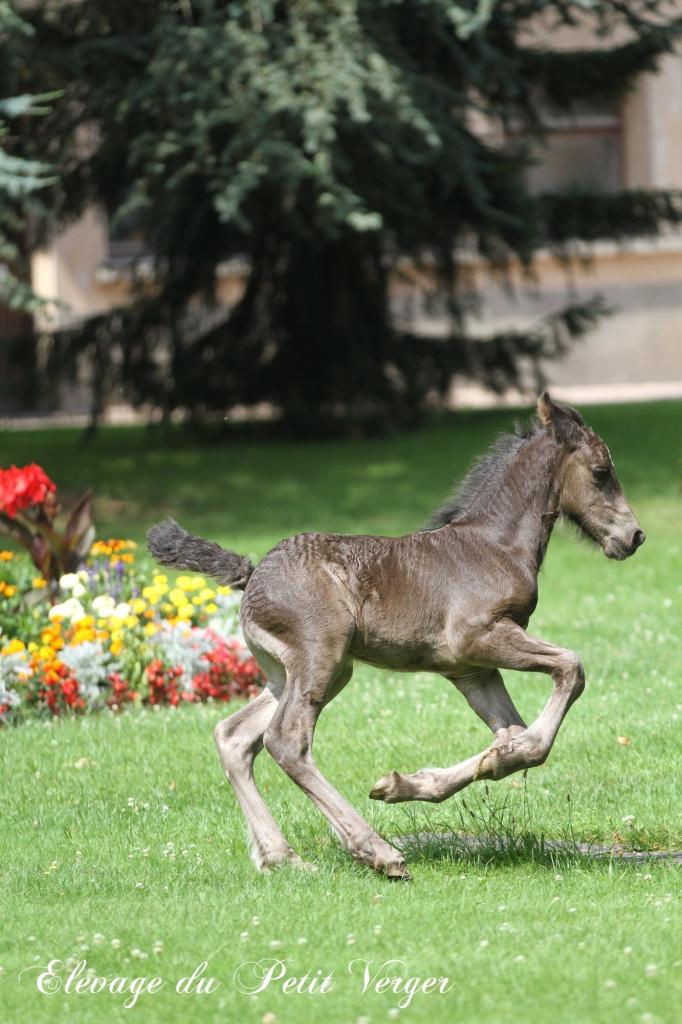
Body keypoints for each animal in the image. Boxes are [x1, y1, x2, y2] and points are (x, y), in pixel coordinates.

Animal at [147, 393, 643, 880]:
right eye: (601, 472)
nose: (634, 536)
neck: (495, 546)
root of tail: (250, 575)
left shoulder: (472, 671)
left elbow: (513, 737)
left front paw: (410, 782)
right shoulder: (479, 638)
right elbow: (569, 672)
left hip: (299, 673)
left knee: (235, 737)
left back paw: (281, 856)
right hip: (320, 658)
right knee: (285, 741)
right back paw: (376, 850)